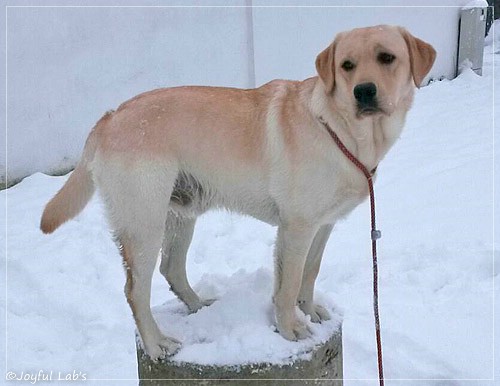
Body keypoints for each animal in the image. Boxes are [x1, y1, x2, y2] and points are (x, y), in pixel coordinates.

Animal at [41, 25, 436, 360]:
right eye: (347, 65)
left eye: (387, 57)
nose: (364, 91)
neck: (342, 130)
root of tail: (109, 116)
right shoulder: (297, 227)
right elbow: (289, 284)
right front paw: (291, 329)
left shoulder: (322, 226)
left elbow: (309, 274)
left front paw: (309, 312)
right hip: (144, 225)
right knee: (135, 291)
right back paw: (157, 344)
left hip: (179, 215)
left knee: (172, 268)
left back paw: (199, 307)